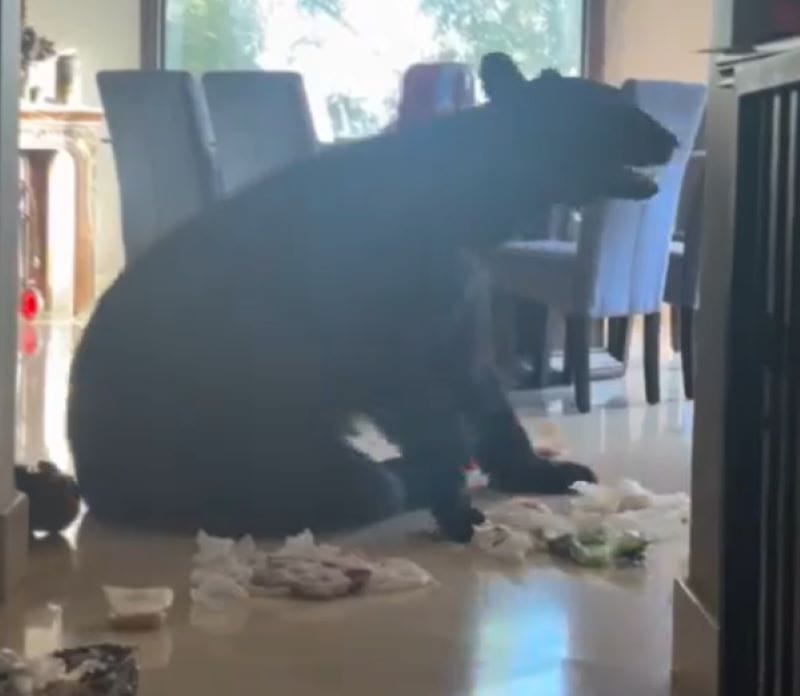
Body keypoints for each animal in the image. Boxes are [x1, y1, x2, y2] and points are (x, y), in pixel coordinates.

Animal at [69, 55, 680, 544]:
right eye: (611, 109)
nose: (674, 139)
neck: (463, 203)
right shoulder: (381, 315)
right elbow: (417, 401)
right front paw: (455, 507)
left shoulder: (457, 299)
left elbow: (480, 385)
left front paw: (537, 471)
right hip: (226, 448)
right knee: (356, 486)